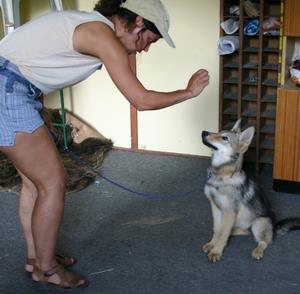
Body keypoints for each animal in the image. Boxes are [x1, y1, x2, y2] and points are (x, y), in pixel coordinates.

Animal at [202, 119, 300, 262]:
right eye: (219, 132)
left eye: (224, 138)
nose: (203, 132)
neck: (222, 175)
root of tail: (274, 227)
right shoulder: (215, 208)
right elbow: (217, 229)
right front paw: (212, 244)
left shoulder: (230, 211)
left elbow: (223, 233)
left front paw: (216, 251)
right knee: (243, 231)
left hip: (258, 224)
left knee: (265, 241)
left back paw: (258, 250)